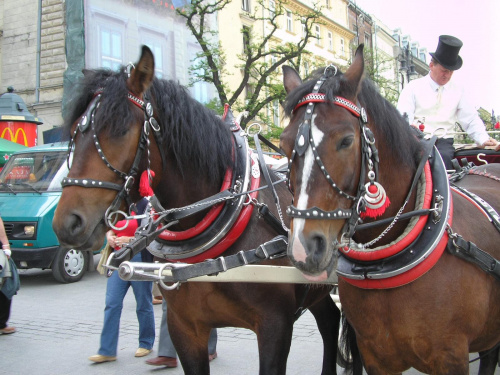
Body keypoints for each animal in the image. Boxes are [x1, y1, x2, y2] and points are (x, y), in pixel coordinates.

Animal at [50, 46, 360, 375]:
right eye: (74, 131)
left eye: (121, 130)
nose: (67, 223)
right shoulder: (185, 328)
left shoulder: (276, 326)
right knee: (330, 320)